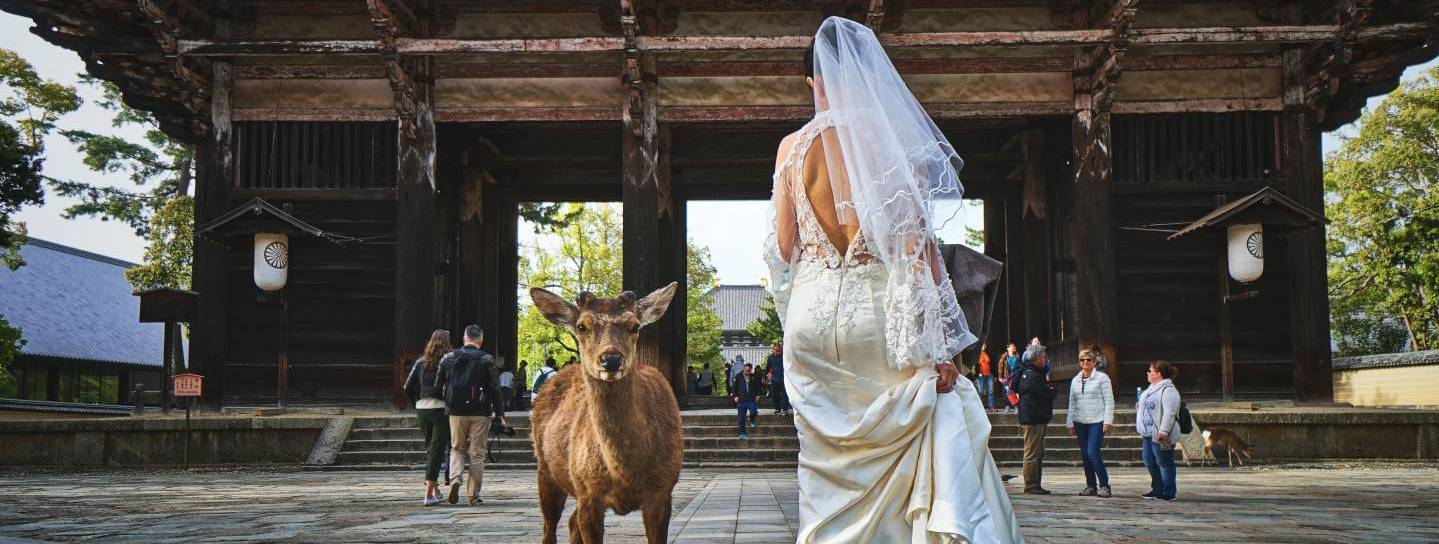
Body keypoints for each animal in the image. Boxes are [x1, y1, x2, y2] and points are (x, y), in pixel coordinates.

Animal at [529, 282, 684, 544]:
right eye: (582, 326)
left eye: (635, 326)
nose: (610, 359)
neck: (625, 473)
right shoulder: (589, 492)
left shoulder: (663, 490)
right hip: (546, 471)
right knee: (549, 529)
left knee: (571, 524)